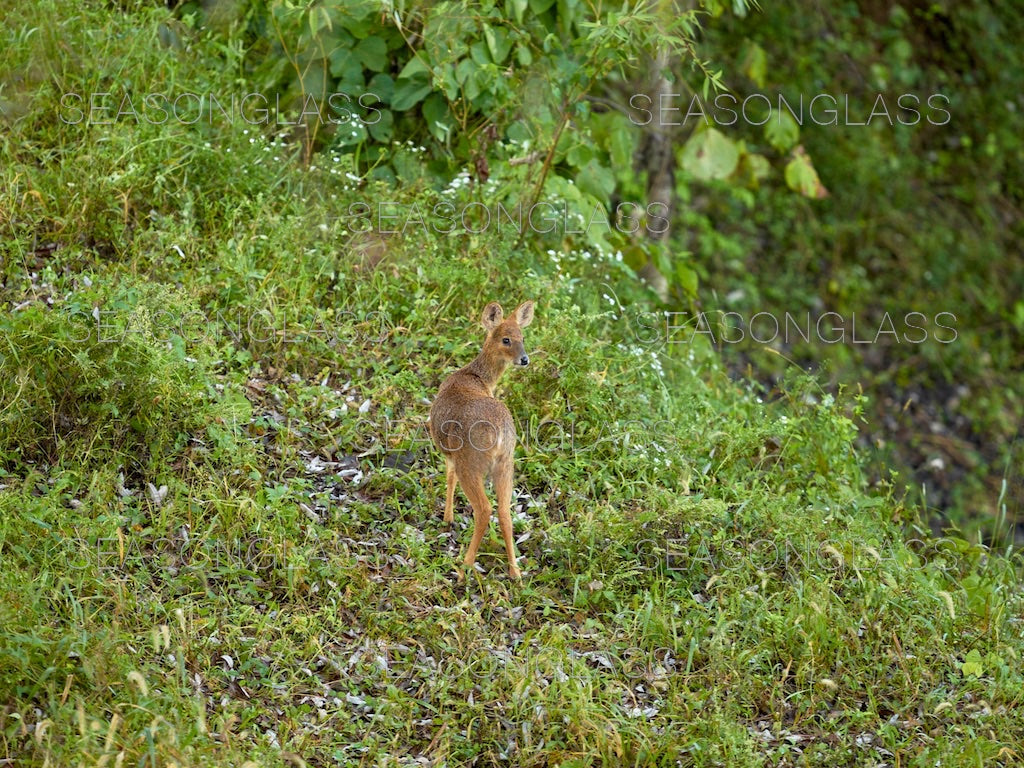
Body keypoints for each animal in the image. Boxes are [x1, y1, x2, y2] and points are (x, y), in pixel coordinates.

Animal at [428, 303, 536, 581]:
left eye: (523, 338)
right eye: (507, 339)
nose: (524, 359)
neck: (475, 377)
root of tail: (497, 435)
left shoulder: (451, 454)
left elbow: (449, 477)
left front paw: (447, 518)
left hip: (471, 461)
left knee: (484, 509)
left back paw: (464, 567)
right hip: (506, 463)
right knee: (505, 511)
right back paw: (515, 572)